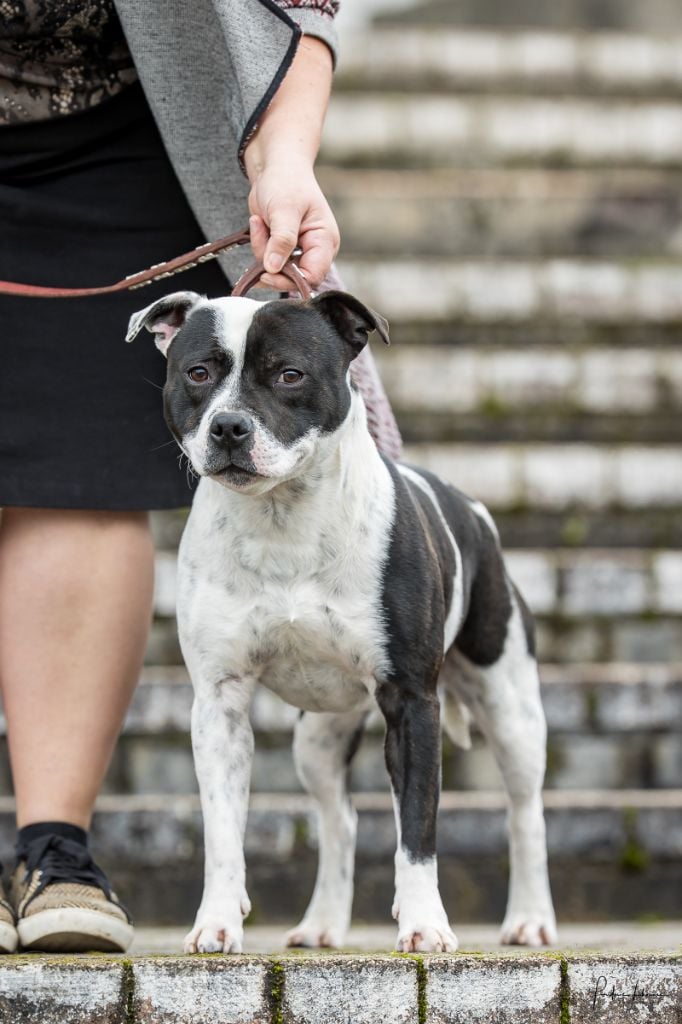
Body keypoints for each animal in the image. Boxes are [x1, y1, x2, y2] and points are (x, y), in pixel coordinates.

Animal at [125, 286, 552, 950]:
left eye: (289, 374)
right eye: (197, 374)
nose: (228, 426)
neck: (282, 521)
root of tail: (472, 509)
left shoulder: (412, 703)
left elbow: (417, 832)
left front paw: (425, 926)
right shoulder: (219, 704)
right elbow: (222, 832)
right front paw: (217, 923)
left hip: (511, 708)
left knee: (524, 810)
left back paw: (530, 919)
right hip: (318, 739)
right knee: (339, 818)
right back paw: (322, 923)